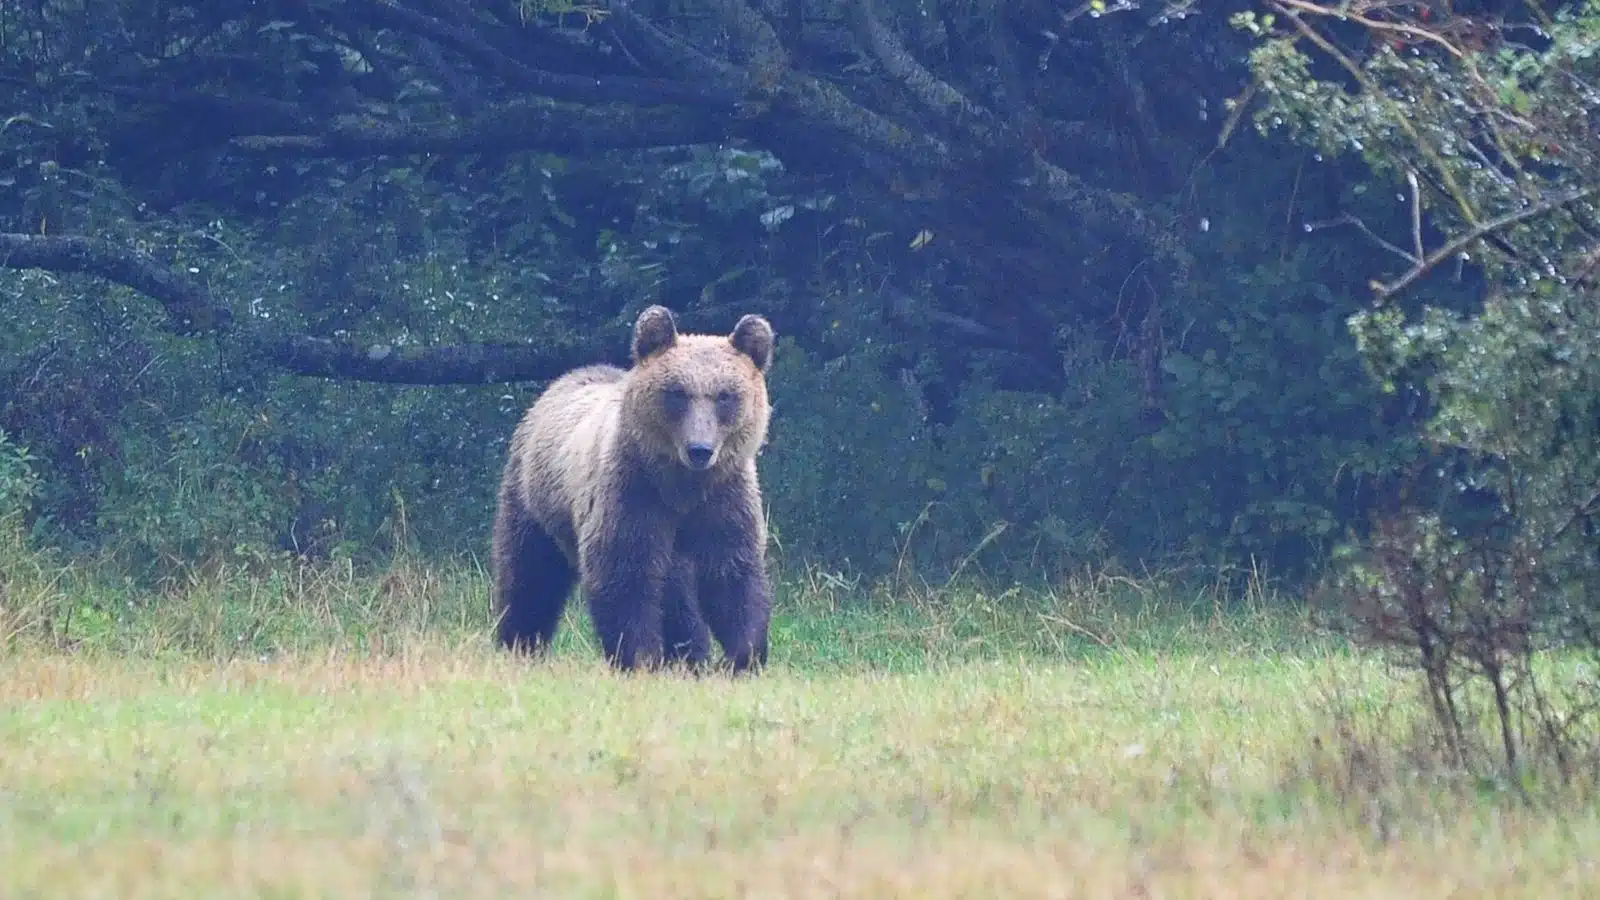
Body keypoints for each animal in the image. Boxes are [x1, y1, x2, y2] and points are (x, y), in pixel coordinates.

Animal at [490, 304, 776, 674]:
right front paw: (639, 658)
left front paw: (742, 658)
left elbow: (733, 575)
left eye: (725, 395)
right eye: (678, 392)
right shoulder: (632, 496)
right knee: (529, 575)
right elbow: (624, 577)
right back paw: (519, 642)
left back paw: (690, 657)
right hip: (534, 501)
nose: (699, 449)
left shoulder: (723, 501)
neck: (682, 487)